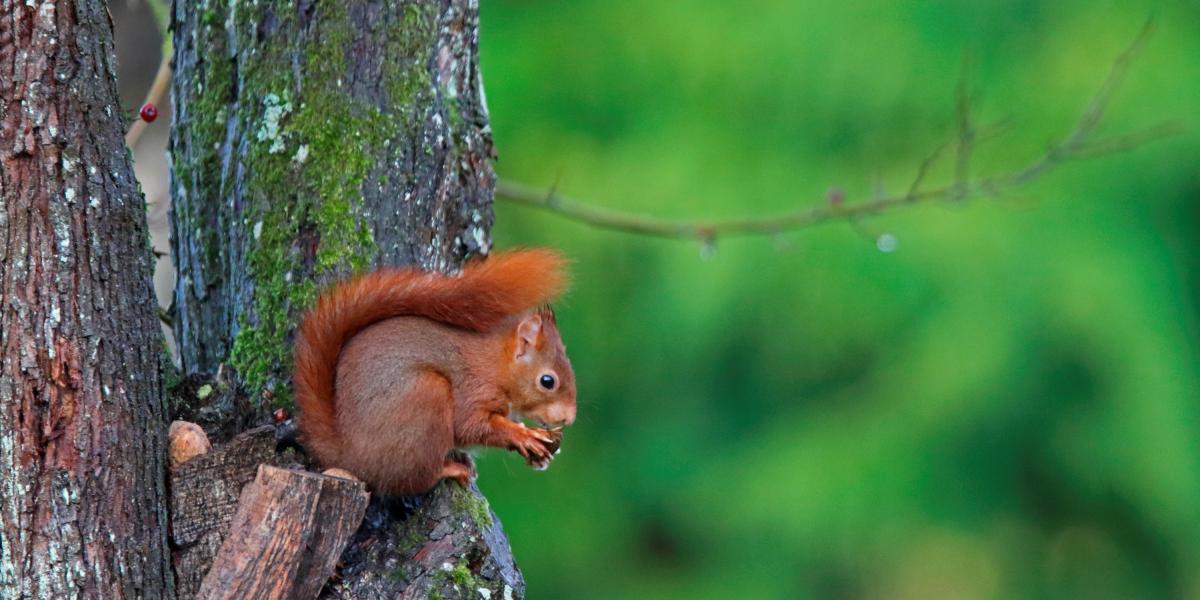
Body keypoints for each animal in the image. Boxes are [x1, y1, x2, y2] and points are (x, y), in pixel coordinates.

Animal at [289, 247, 571, 492]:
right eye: (548, 381)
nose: (568, 418)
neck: (496, 366)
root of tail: (348, 455)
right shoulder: (474, 388)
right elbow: (472, 426)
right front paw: (523, 435)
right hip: (427, 397)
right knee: (414, 479)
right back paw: (450, 469)